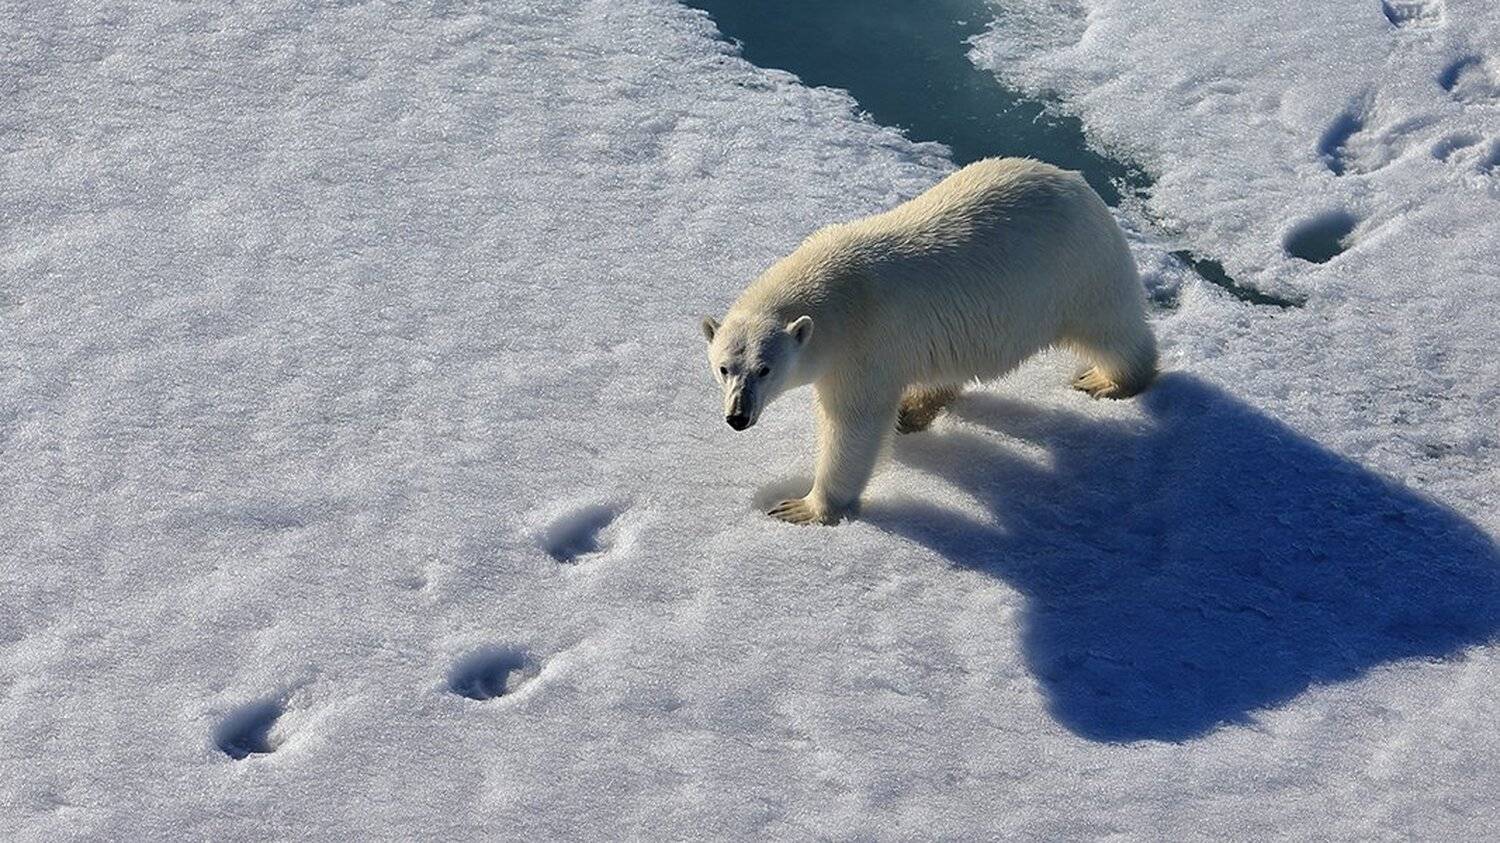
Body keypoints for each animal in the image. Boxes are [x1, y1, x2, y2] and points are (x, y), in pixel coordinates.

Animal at [701, 157, 1157, 525]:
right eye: (724, 368)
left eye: (765, 369)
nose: (737, 416)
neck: (834, 287)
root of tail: (1077, 182)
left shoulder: (862, 346)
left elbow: (854, 425)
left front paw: (803, 507)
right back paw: (914, 411)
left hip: (1079, 271)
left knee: (1111, 329)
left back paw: (1109, 381)